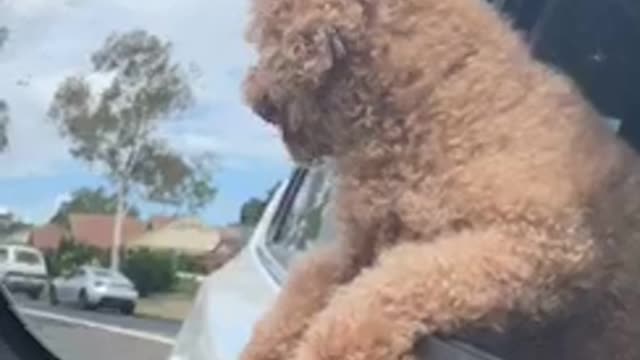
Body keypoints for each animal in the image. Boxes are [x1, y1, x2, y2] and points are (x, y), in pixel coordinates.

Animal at [238, 0, 640, 358]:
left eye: (265, 33)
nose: (252, 95)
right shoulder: (355, 249)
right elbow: (304, 289)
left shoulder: (540, 241)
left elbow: (389, 288)